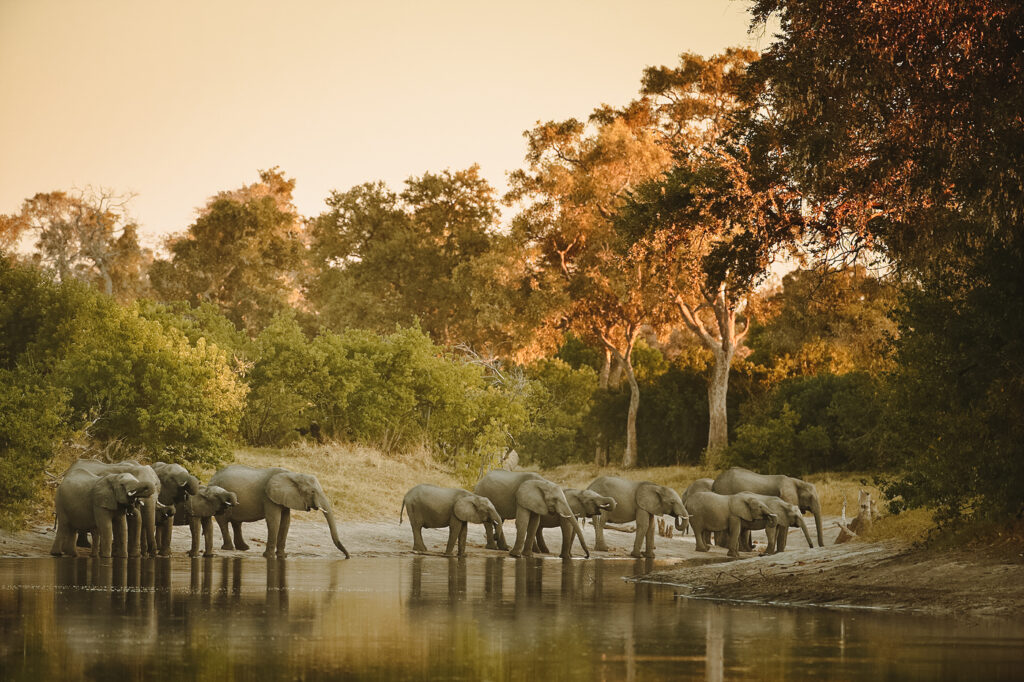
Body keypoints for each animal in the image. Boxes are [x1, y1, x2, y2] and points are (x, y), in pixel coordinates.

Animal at [209, 462, 350, 557]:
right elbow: (274, 521)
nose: (348, 557)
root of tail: (212, 477)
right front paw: (269, 556)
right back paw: (229, 549)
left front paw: (282, 556)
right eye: (312, 492)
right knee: (223, 521)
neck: (292, 475)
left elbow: (285, 522)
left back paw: (244, 548)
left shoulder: (285, 497)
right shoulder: (268, 497)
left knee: (236, 523)